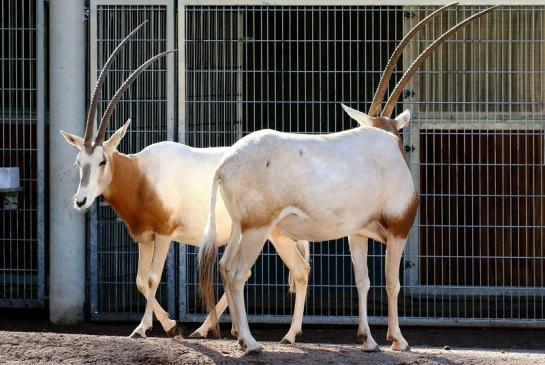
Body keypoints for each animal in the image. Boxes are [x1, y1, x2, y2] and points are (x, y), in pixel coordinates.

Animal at [59, 21, 310, 342]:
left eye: (102, 161)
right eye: (79, 162)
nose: (80, 201)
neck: (141, 175)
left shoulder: (164, 234)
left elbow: (152, 279)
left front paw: (145, 328)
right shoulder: (144, 238)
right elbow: (139, 281)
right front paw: (165, 324)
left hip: (275, 233)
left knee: (298, 271)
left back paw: (288, 335)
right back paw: (210, 329)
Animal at [198, 4, 500, 354]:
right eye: (399, 135)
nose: (381, 339)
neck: (386, 144)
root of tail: (225, 164)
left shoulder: (357, 234)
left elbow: (363, 281)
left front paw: (367, 340)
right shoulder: (398, 230)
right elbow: (392, 282)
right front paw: (398, 340)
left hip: (242, 227)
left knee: (224, 266)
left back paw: (239, 335)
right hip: (258, 229)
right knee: (236, 272)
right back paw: (250, 342)